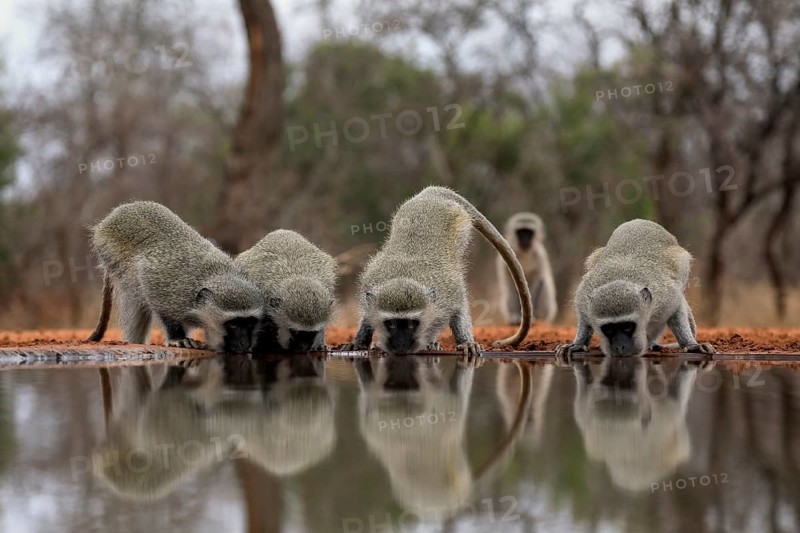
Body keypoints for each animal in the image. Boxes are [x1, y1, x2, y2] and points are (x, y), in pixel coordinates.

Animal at [86, 201, 264, 354]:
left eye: (249, 323)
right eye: (233, 324)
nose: (244, 343)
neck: (215, 274)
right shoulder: (163, 284)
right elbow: (158, 302)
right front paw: (177, 338)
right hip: (109, 250)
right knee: (134, 294)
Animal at [348, 186, 532, 356]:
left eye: (412, 323)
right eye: (391, 324)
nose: (401, 345)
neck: (404, 276)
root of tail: (432, 192)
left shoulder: (449, 292)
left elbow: (458, 309)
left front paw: (465, 343)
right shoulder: (369, 291)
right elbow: (368, 316)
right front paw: (360, 342)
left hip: (460, 225)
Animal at [555, 219, 716, 361]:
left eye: (627, 326)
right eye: (609, 329)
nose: (620, 347)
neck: (619, 279)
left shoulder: (666, 296)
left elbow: (677, 309)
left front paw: (690, 344)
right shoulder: (584, 297)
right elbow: (585, 317)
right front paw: (579, 344)